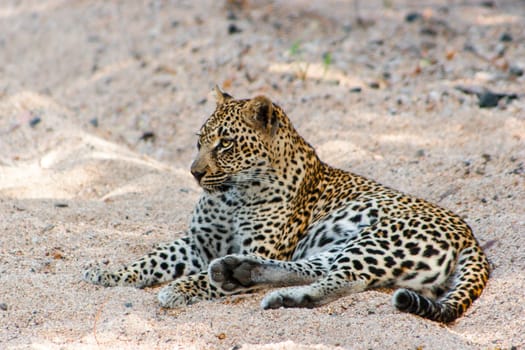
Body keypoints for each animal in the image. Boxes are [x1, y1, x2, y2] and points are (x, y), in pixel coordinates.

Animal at [84, 87, 490, 322]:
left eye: (225, 144)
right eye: (199, 141)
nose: (194, 172)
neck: (232, 195)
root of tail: (470, 237)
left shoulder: (259, 244)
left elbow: (197, 278)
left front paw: (180, 289)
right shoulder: (199, 243)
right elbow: (152, 258)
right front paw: (109, 274)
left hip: (379, 239)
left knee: (347, 280)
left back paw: (261, 287)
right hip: (338, 246)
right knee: (312, 270)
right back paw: (239, 272)